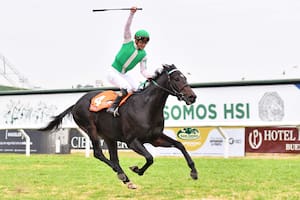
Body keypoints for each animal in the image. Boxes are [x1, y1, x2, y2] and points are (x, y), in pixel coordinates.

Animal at [40, 64, 199, 189]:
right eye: (177, 79)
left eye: (185, 78)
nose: (192, 97)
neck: (146, 107)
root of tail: (76, 104)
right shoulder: (132, 141)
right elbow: (149, 157)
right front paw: (137, 169)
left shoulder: (155, 138)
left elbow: (179, 145)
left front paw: (194, 171)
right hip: (91, 129)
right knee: (99, 153)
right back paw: (123, 175)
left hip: (109, 137)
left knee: (114, 158)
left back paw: (125, 178)